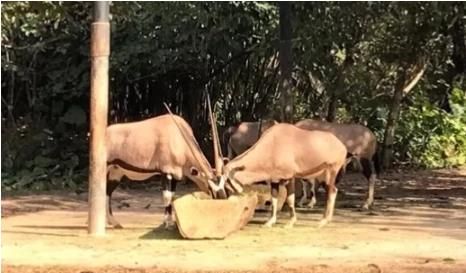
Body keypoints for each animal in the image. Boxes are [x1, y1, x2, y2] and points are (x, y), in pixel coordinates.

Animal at [218, 122, 346, 227]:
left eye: (228, 182)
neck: (272, 145)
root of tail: (341, 146)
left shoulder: (289, 177)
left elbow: (290, 199)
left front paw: (290, 222)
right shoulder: (274, 179)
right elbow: (274, 198)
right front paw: (270, 222)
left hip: (330, 173)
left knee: (330, 191)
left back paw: (323, 221)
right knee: (334, 190)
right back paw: (328, 219)